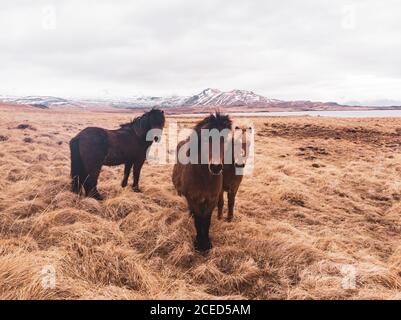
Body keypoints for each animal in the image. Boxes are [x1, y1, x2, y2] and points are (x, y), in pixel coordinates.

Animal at [172, 114, 231, 251]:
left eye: (225, 139)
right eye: (205, 138)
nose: (216, 167)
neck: (205, 178)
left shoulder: (211, 200)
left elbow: (206, 220)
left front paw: (207, 243)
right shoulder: (194, 199)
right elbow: (198, 221)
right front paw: (199, 244)